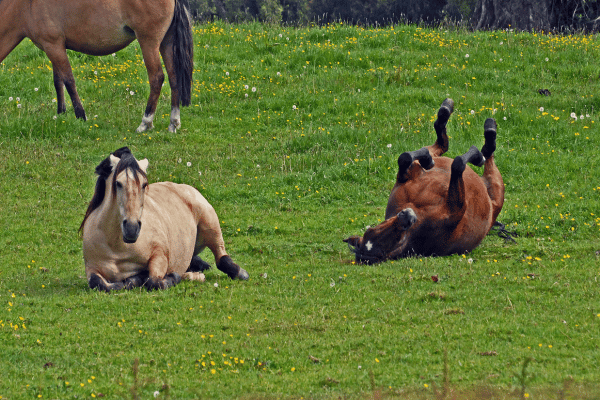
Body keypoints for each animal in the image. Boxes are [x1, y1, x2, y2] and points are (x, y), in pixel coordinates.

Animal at [0, 0, 192, 131]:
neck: (25, 6)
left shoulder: (53, 46)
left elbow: (68, 81)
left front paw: (81, 116)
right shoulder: (53, 48)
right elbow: (58, 81)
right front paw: (61, 113)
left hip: (148, 42)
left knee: (157, 78)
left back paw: (146, 123)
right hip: (166, 42)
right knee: (174, 78)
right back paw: (174, 122)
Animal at [80, 147, 248, 290]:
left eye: (144, 184)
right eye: (118, 183)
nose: (131, 229)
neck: (117, 248)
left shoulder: (159, 255)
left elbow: (154, 281)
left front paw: (171, 277)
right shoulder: (91, 268)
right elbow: (99, 283)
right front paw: (134, 279)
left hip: (210, 222)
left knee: (221, 257)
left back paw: (237, 272)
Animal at [344, 98, 504, 264]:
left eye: (371, 229)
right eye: (394, 241)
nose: (406, 216)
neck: (420, 212)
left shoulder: (409, 176)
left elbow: (405, 157)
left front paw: (427, 159)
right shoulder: (458, 209)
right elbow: (458, 163)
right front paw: (476, 155)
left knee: (441, 145)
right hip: (496, 190)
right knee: (487, 160)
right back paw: (485, 145)